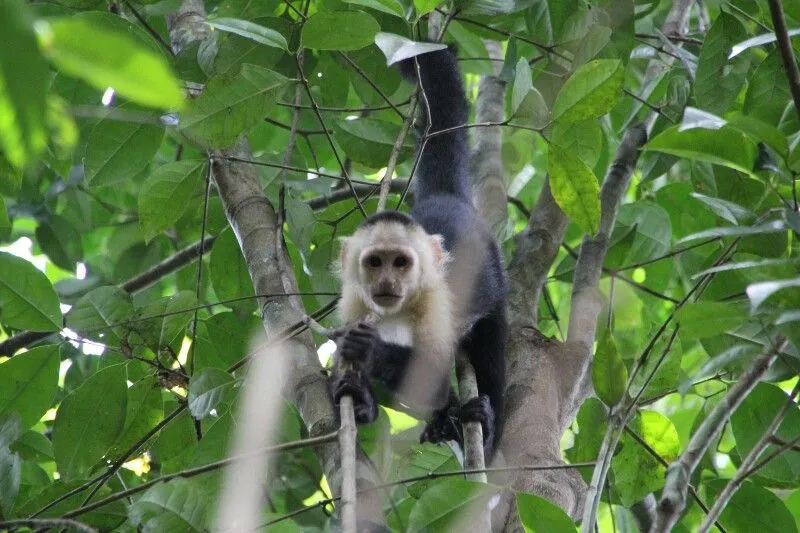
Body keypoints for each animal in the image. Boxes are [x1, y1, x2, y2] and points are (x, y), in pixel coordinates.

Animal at [330, 45, 506, 458]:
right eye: (374, 263)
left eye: (401, 263)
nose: (388, 282)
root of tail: (444, 197)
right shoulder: (353, 300)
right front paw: (359, 399)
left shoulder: (435, 300)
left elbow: (432, 375)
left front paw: (370, 351)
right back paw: (446, 419)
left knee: (489, 346)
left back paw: (486, 423)